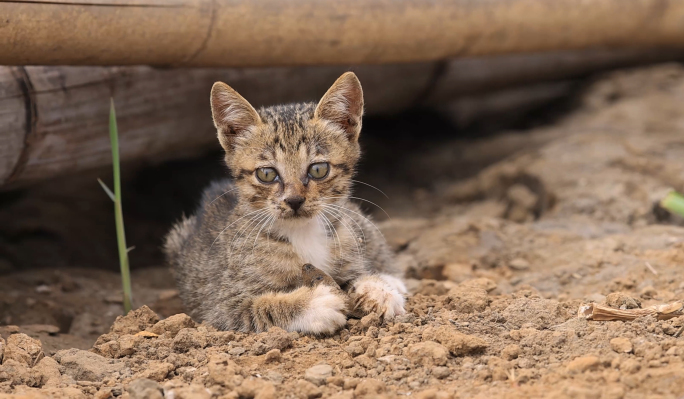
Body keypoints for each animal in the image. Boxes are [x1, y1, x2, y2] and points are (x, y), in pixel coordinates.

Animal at [164, 73, 406, 336]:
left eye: (318, 169)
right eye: (267, 174)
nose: (294, 200)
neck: (303, 233)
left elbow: (366, 272)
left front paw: (378, 289)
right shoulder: (220, 306)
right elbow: (259, 307)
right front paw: (313, 304)